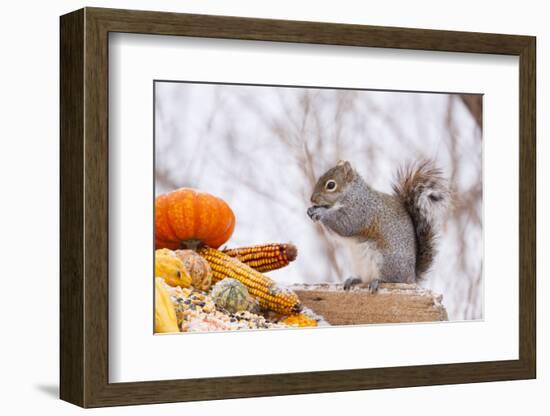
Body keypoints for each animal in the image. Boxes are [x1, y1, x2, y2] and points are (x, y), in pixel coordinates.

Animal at [308, 159, 450, 292]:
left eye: (331, 185)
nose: (312, 199)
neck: (352, 195)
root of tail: (411, 278)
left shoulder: (361, 212)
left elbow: (345, 225)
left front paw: (320, 212)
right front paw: (311, 211)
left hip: (386, 262)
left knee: (392, 280)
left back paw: (379, 281)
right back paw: (355, 280)